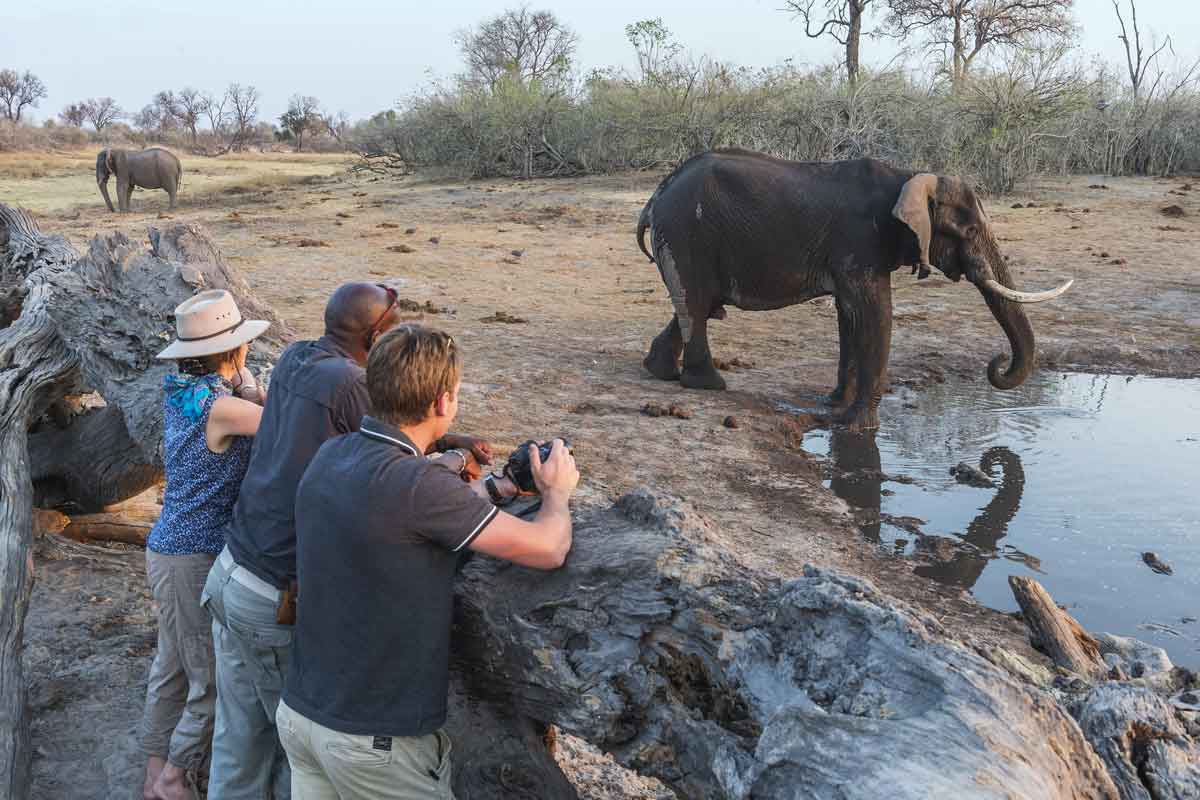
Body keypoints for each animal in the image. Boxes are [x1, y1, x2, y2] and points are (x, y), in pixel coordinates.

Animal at [633, 146, 1075, 429]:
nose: (996, 364)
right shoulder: (861, 241)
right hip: (688, 232)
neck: (909, 178)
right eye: (966, 232)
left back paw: (661, 371)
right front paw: (858, 425)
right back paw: (708, 384)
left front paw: (833, 404)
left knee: (697, 305)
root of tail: (655, 196)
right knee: (697, 303)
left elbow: (849, 316)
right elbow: (875, 314)